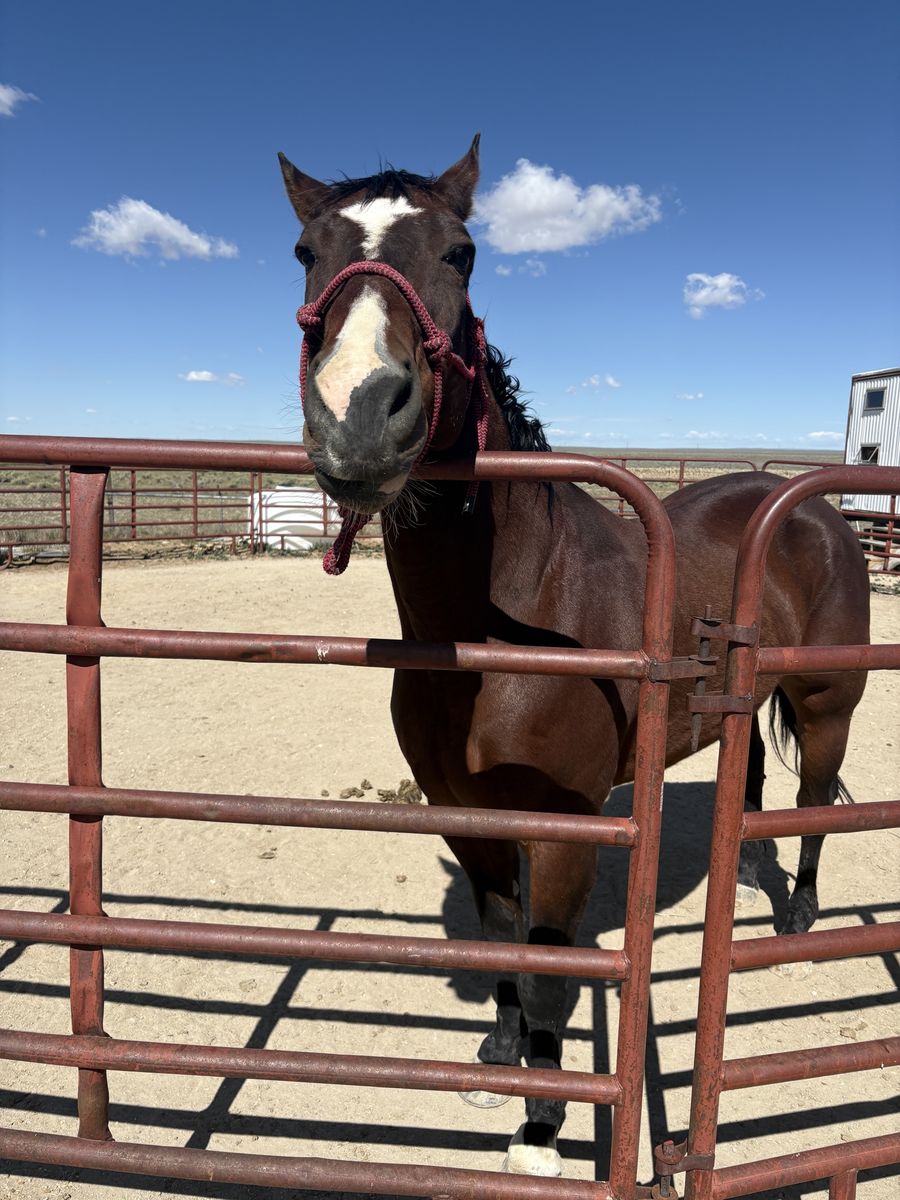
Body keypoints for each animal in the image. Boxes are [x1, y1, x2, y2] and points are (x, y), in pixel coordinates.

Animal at [277, 137, 870, 1177]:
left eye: (463, 253)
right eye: (308, 252)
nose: (357, 416)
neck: (503, 626)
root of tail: (816, 513)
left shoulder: (563, 833)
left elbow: (553, 971)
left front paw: (541, 1131)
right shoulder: (468, 816)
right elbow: (503, 944)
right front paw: (501, 1053)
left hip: (827, 701)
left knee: (813, 800)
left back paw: (795, 916)